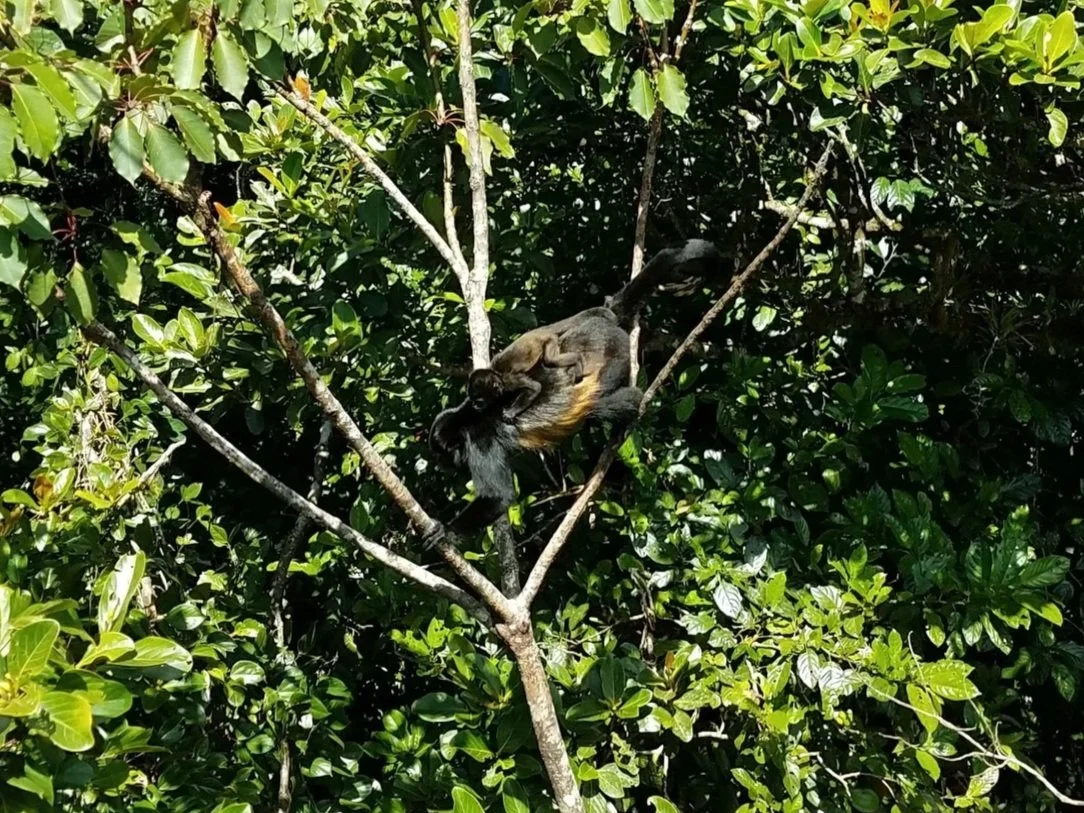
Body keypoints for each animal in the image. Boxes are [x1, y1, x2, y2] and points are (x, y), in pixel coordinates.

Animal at [427, 238, 723, 540]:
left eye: (448, 451)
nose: (452, 462)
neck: (465, 416)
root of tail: (606, 322)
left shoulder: (479, 438)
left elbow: (497, 497)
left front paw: (445, 531)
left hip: (614, 352)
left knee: (603, 404)